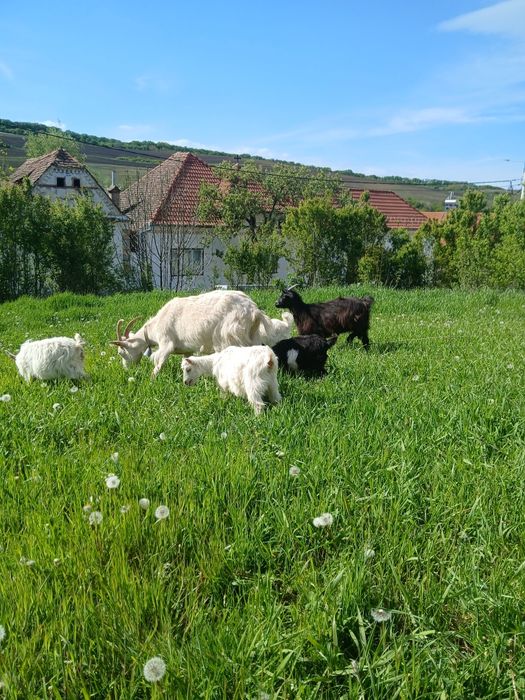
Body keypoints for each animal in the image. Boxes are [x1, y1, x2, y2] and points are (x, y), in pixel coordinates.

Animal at [110, 290, 279, 378]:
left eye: (121, 352)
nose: (127, 369)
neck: (155, 326)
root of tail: (254, 310)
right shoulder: (187, 349)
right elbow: (186, 360)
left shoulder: (166, 343)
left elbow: (159, 362)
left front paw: (151, 380)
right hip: (252, 335)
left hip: (230, 336)